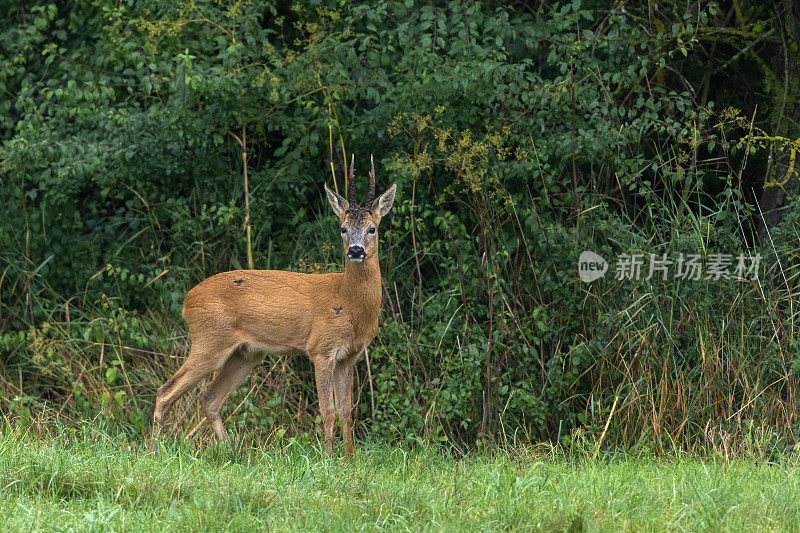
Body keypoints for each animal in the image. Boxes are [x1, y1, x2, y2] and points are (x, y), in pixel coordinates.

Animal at [152, 155, 396, 458]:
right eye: (343, 228)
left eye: (372, 228)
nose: (355, 250)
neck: (348, 303)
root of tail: (188, 300)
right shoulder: (321, 348)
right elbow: (327, 411)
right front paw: (328, 458)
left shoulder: (348, 356)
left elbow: (346, 412)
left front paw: (349, 459)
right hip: (209, 341)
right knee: (165, 392)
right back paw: (151, 452)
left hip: (245, 354)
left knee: (210, 399)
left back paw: (232, 451)